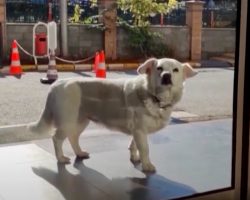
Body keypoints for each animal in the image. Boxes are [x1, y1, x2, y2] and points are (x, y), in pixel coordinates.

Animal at [29, 57, 197, 172]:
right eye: (159, 68)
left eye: (175, 70)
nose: (166, 76)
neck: (155, 96)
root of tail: (55, 85)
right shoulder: (140, 131)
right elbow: (145, 149)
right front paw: (147, 165)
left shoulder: (138, 130)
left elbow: (134, 145)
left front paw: (135, 157)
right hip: (67, 121)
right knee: (56, 139)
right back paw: (61, 158)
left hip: (80, 121)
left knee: (73, 138)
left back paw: (79, 153)